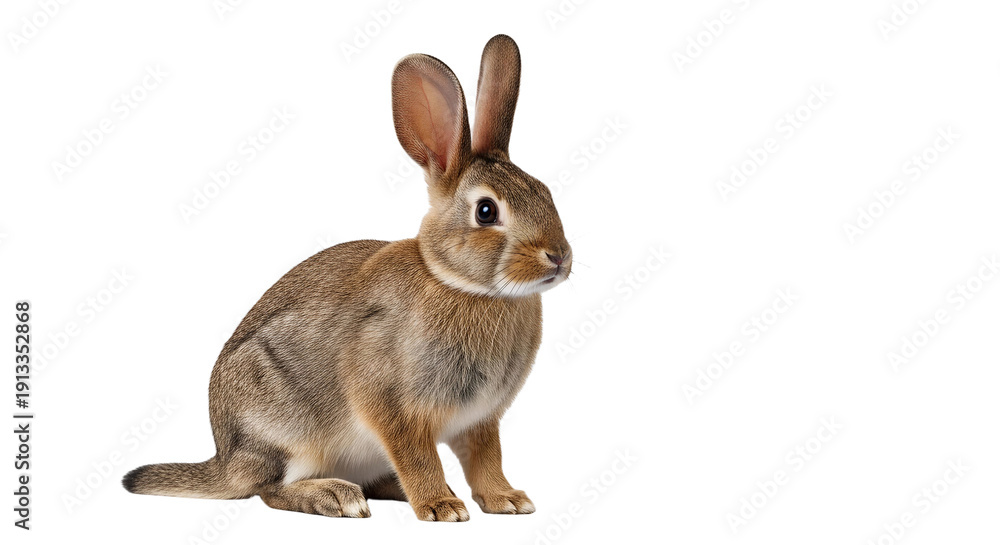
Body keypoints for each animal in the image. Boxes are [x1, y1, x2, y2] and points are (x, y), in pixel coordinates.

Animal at [123, 34, 572, 522]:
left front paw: (507, 500)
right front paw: (441, 507)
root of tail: (226, 461)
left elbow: (486, 459)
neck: (462, 284)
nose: (560, 257)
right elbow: (418, 456)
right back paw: (337, 497)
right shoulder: (392, 406)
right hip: (285, 429)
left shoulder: (480, 420)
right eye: (486, 211)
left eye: (545, 192)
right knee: (269, 489)